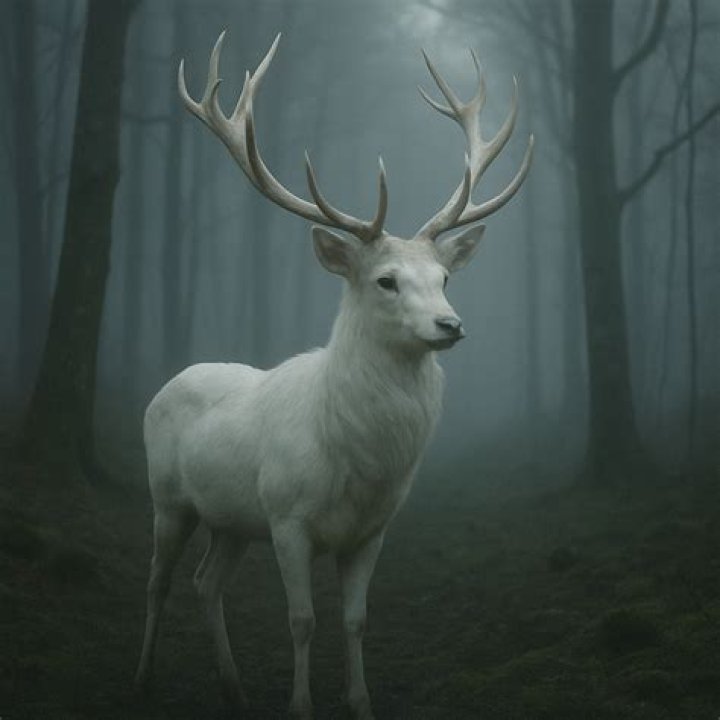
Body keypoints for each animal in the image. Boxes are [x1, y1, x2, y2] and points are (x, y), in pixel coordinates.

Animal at [134, 30, 533, 720]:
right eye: (386, 280)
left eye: (444, 277)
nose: (451, 325)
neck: (358, 464)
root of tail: (170, 381)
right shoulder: (288, 518)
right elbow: (302, 621)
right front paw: (300, 704)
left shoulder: (372, 530)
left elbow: (354, 620)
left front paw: (360, 701)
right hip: (169, 498)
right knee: (158, 582)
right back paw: (143, 679)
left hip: (232, 519)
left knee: (205, 583)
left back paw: (233, 687)